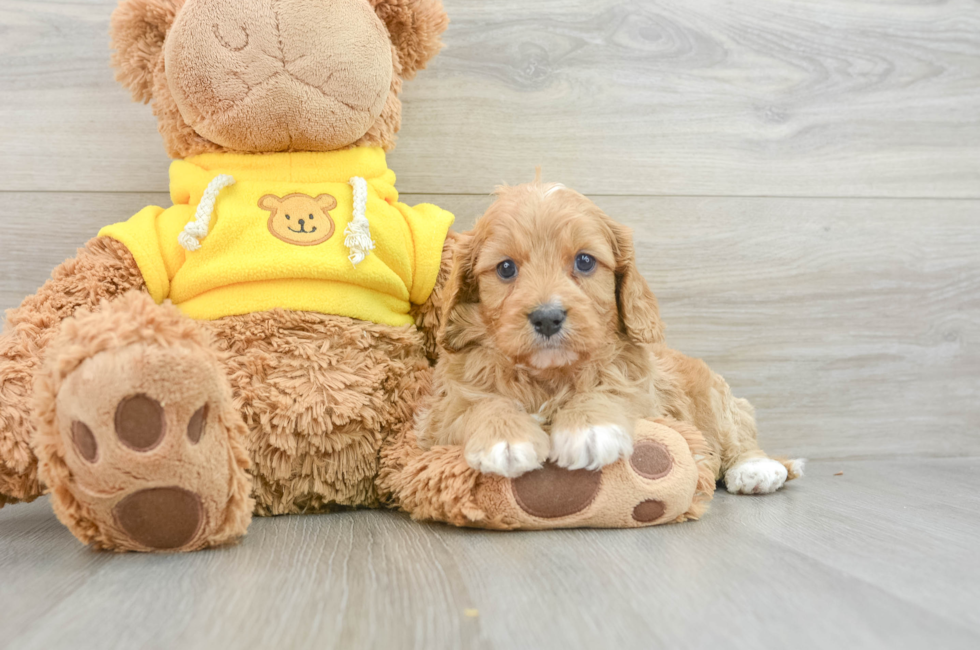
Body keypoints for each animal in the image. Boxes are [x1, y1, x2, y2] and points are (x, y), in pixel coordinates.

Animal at [420, 178, 804, 492]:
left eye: (585, 261)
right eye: (505, 268)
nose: (547, 318)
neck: (549, 375)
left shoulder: (644, 395)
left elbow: (613, 391)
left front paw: (590, 426)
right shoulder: (443, 414)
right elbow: (477, 405)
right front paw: (504, 437)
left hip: (715, 398)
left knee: (737, 436)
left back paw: (755, 469)